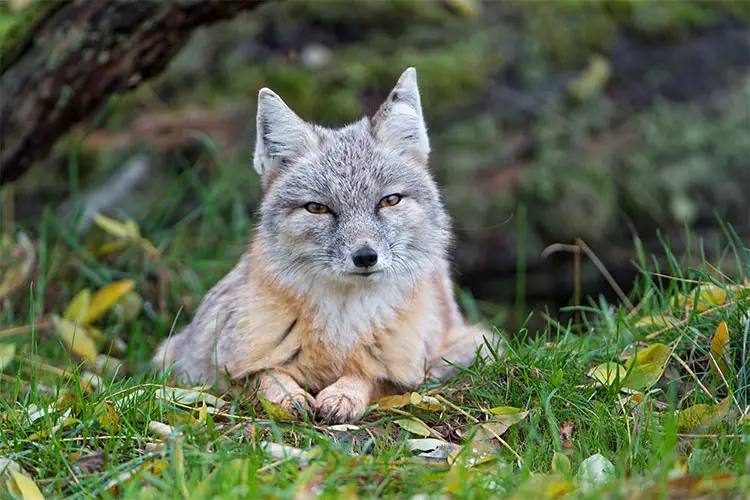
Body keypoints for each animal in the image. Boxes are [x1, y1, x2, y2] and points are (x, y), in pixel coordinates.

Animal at [153, 67, 502, 422]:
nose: (365, 256)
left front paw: (344, 394)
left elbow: (368, 374)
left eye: (389, 201)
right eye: (318, 208)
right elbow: (268, 375)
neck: (341, 327)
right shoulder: (204, 367)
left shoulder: (414, 372)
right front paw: (289, 396)